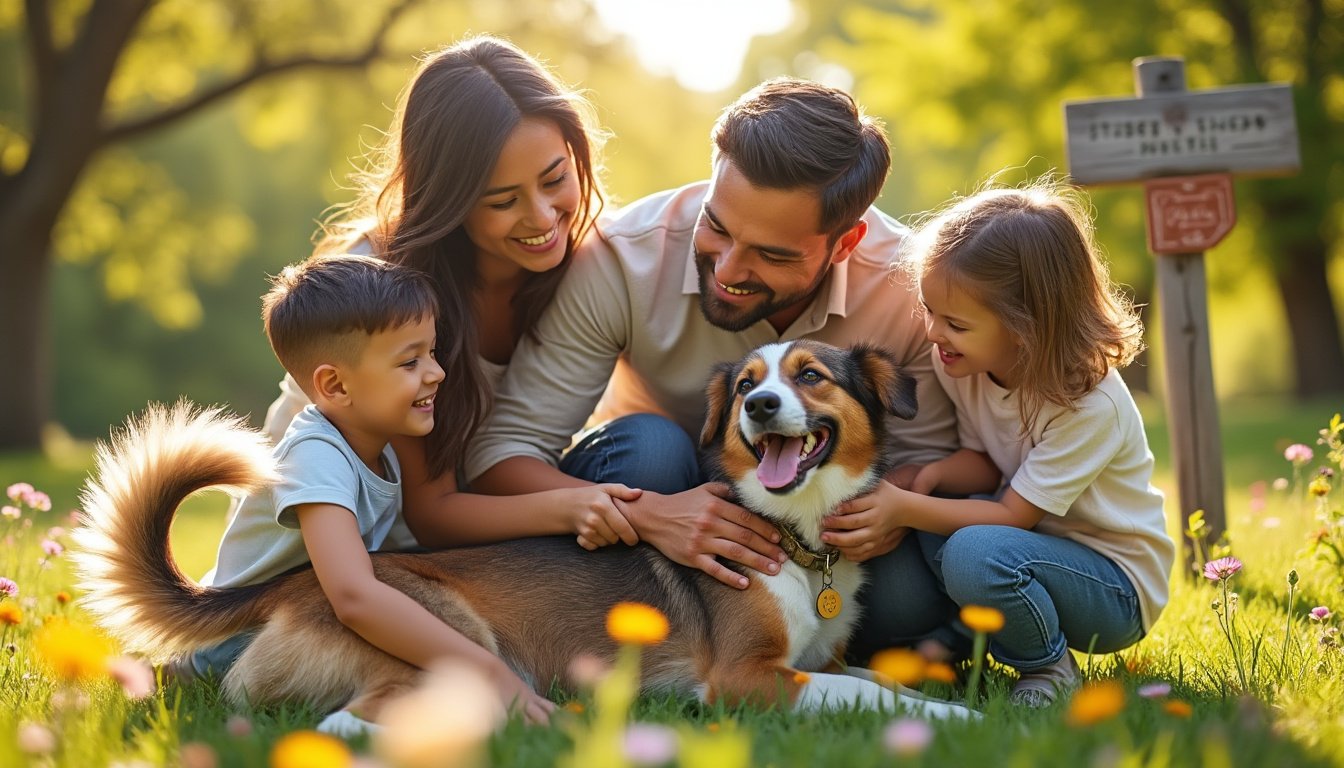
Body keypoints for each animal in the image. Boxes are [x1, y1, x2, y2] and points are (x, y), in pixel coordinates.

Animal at [73, 338, 973, 726]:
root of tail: (300, 582)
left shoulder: (826, 657)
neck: (792, 536)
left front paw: (940, 705)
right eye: (751, 382)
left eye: (811, 376)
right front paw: (961, 724)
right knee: (342, 722)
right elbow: (862, 694)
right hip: (453, 638)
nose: (757, 405)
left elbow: (884, 680)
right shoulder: (744, 680)